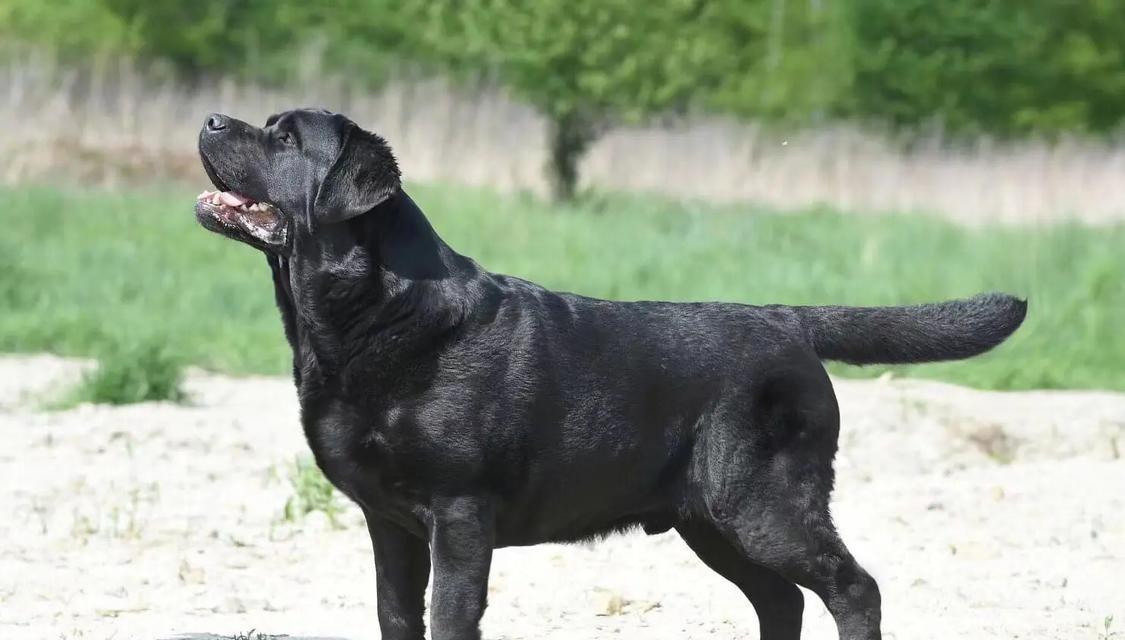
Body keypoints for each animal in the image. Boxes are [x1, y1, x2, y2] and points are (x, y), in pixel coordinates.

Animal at [195, 109, 1030, 638]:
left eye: (283, 136)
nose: (209, 120)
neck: (365, 315)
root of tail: (787, 319)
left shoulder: (459, 514)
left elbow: (449, 617)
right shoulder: (387, 523)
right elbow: (395, 615)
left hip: (763, 503)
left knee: (851, 588)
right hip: (709, 519)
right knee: (781, 602)